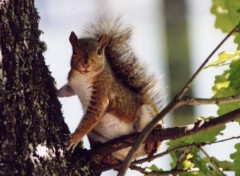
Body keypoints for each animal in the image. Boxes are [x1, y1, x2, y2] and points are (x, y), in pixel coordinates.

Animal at [58, 16, 163, 164]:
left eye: (99, 51)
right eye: (74, 51)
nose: (85, 63)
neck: (83, 77)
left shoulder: (103, 91)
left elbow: (95, 112)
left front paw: (73, 139)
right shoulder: (73, 85)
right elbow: (66, 91)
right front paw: (55, 90)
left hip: (147, 112)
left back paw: (154, 139)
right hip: (95, 135)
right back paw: (108, 158)